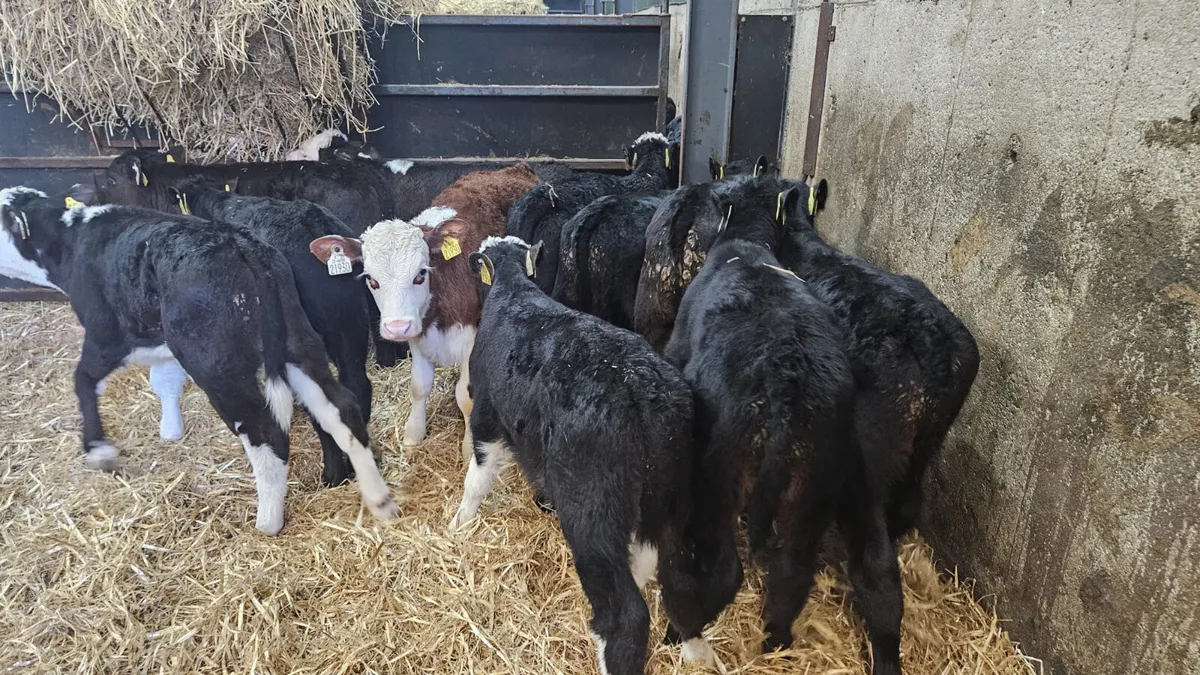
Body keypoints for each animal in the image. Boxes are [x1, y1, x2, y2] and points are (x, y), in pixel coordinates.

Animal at [309, 164, 541, 463]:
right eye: (371, 279)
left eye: (420, 274)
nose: (397, 327)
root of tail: (515, 167)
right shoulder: (418, 337)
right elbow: (419, 387)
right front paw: (413, 434)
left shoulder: (472, 340)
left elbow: (465, 396)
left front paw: (468, 447)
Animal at [450, 235, 715, 675]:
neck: (513, 291)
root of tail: (645, 394)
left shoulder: (488, 414)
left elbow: (477, 478)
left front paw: (459, 522)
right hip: (667, 496)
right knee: (667, 569)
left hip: (593, 511)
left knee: (625, 613)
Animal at [663, 177, 903, 674]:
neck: (747, 248)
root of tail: (786, 390)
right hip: (814, 490)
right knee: (803, 572)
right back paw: (777, 641)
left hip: (722, 477)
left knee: (723, 569)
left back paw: (680, 632)